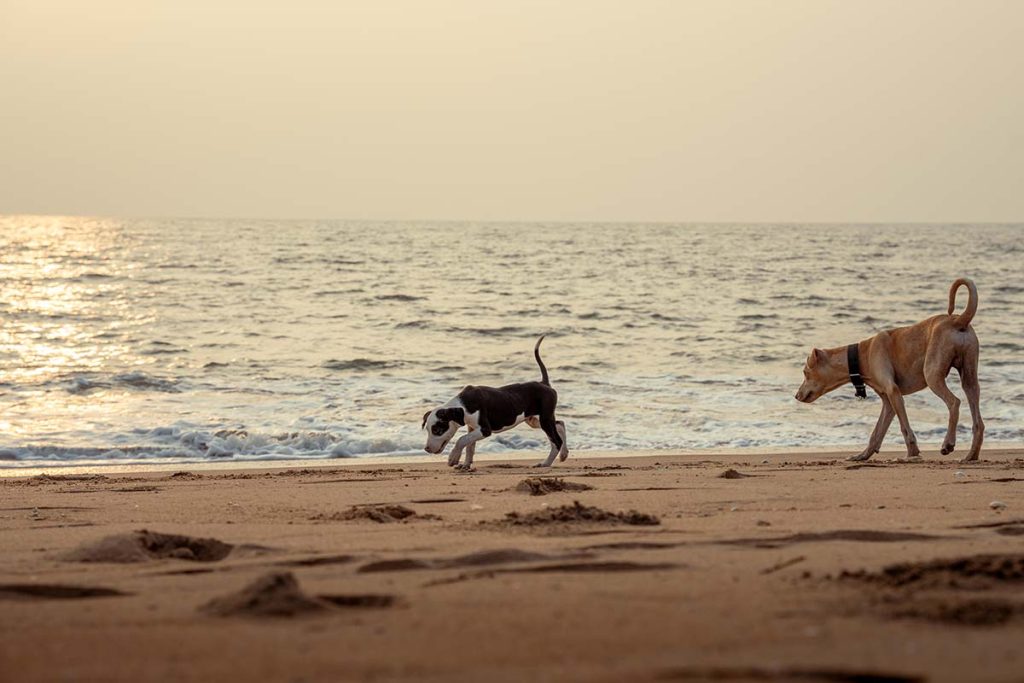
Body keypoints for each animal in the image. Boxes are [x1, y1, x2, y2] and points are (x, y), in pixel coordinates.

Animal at [421, 335, 569, 471]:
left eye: (437, 430)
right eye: (427, 429)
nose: (427, 449)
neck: (463, 406)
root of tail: (544, 383)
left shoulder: (485, 429)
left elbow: (461, 439)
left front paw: (453, 458)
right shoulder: (472, 428)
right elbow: (469, 445)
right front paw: (466, 465)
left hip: (544, 419)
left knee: (556, 440)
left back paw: (546, 463)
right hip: (534, 419)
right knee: (560, 424)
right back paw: (564, 454)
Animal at [790, 278, 983, 464]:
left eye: (805, 373)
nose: (797, 396)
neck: (862, 354)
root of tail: (958, 320)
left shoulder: (893, 391)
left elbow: (905, 428)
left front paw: (911, 454)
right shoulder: (888, 401)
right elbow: (877, 431)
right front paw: (862, 455)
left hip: (932, 374)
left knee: (954, 402)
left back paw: (948, 443)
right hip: (969, 374)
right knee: (977, 419)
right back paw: (971, 455)